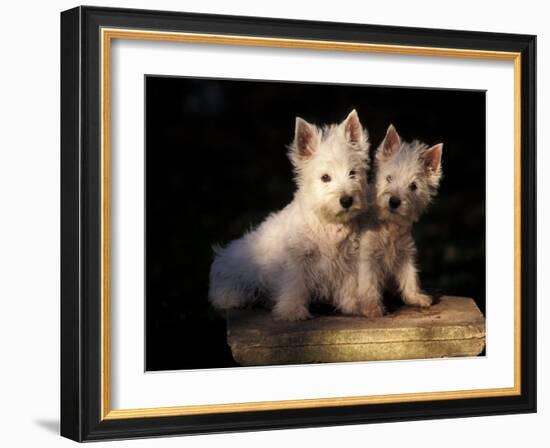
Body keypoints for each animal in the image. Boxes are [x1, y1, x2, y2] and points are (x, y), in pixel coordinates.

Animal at [209, 112, 374, 322]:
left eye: (352, 173)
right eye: (325, 177)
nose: (346, 200)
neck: (328, 223)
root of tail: (221, 254)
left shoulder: (348, 259)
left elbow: (349, 284)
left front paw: (353, 305)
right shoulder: (297, 260)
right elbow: (295, 285)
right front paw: (292, 312)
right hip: (234, 274)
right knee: (224, 293)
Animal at [358, 124, 444, 316]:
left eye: (413, 186)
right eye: (389, 178)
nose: (394, 201)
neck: (390, 226)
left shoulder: (405, 252)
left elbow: (410, 275)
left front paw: (416, 297)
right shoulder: (368, 255)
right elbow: (369, 281)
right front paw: (373, 307)